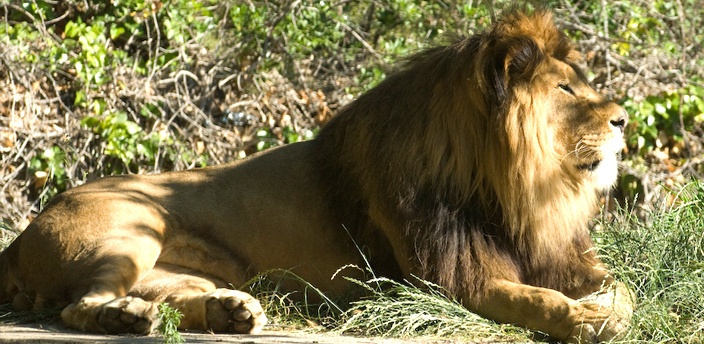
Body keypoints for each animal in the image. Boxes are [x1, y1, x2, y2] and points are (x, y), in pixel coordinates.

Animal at [0, 9, 632, 342]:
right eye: (566, 89)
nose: (624, 118)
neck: (510, 190)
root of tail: (17, 241)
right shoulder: (449, 282)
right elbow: (537, 301)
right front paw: (583, 318)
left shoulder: (555, 254)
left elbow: (622, 288)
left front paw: (607, 307)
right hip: (132, 226)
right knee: (77, 307)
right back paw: (126, 316)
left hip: (182, 270)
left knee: (180, 300)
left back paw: (230, 312)